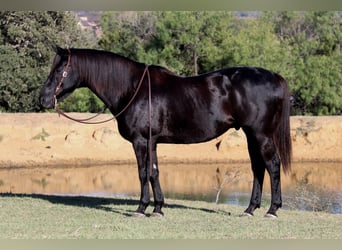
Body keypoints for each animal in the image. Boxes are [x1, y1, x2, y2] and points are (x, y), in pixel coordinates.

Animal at [39, 46, 292, 217]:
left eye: (60, 69)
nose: (43, 99)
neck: (133, 89)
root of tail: (275, 77)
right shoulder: (152, 141)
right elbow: (154, 172)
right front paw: (158, 208)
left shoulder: (141, 141)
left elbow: (143, 173)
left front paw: (142, 208)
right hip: (251, 135)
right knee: (258, 168)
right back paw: (250, 209)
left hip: (261, 135)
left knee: (272, 166)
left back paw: (272, 210)